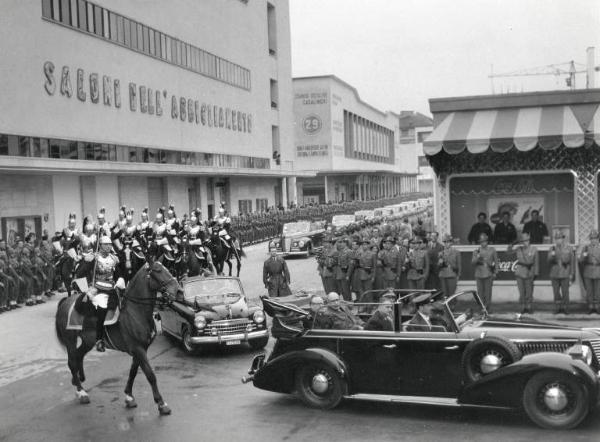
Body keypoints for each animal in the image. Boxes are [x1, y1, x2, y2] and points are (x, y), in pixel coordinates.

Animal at [54, 260, 180, 412]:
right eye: (158, 270)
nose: (179, 291)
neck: (135, 311)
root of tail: (66, 301)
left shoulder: (140, 349)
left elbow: (133, 372)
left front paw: (129, 397)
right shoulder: (138, 349)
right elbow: (150, 375)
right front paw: (161, 403)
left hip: (87, 341)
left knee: (78, 356)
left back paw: (78, 382)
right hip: (70, 340)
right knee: (72, 361)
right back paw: (82, 392)